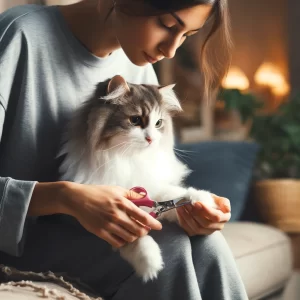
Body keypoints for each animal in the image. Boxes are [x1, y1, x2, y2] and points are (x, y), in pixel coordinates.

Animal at [58, 74, 216, 282]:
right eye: (135, 120)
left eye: (158, 123)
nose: (151, 139)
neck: (128, 158)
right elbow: (135, 240)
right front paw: (150, 264)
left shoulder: (153, 187)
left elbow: (174, 195)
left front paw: (202, 200)